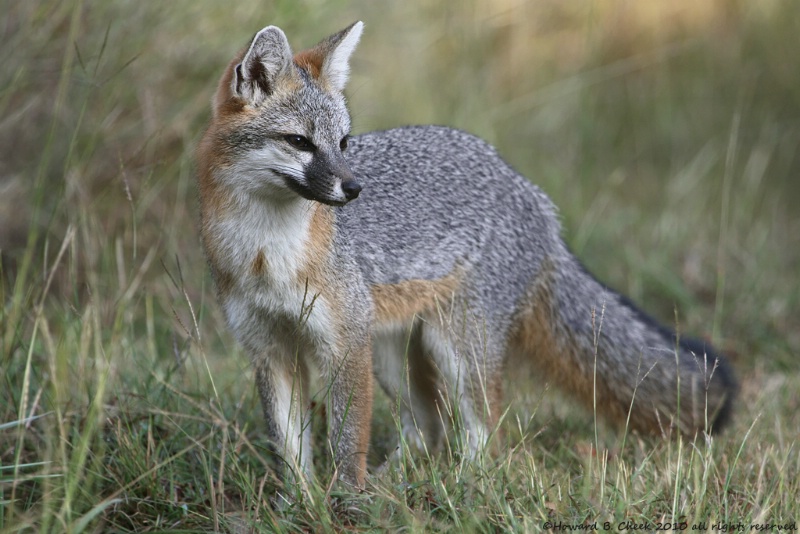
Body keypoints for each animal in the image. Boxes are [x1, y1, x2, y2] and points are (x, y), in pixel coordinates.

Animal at [197, 23, 736, 492]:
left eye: (344, 142)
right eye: (299, 142)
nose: (354, 188)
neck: (267, 254)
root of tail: (531, 194)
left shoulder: (344, 344)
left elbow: (348, 441)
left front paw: (346, 502)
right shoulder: (270, 349)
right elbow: (289, 449)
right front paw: (302, 505)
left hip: (454, 348)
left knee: (486, 431)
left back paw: (463, 486)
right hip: (393, 355)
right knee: (428, 429)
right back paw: (396, 487)